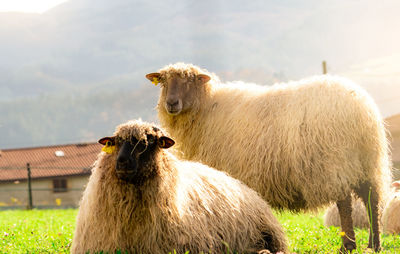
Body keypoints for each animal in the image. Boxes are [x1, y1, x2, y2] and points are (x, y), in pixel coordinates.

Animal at [146, 62, 390, 252]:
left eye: (189, 81)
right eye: (164, 82)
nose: (171, 103)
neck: (206, 109)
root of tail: (361, 108)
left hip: (335, 161)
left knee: (345, 204)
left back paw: (348, 246)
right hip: (367, 162)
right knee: (372, 201)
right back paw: (374, 245)